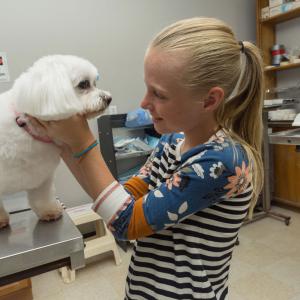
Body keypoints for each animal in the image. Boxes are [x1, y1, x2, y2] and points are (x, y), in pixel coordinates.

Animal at [0, 54, 112, 227]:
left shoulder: (42, 176)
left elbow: (41, 197)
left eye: (94, 83)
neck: (26, 129)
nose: (108, 98)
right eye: (84, 84)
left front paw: (49, 211)